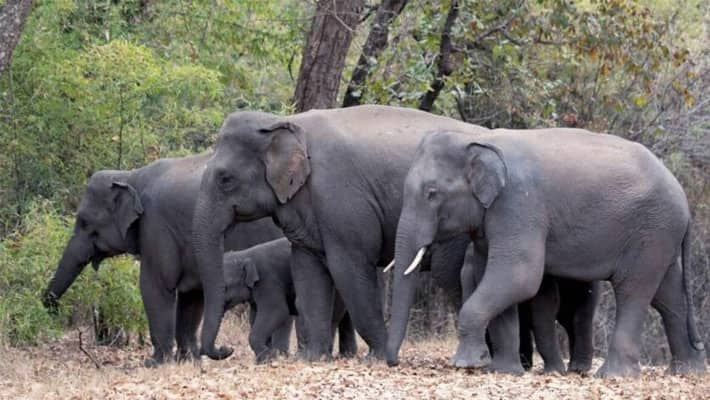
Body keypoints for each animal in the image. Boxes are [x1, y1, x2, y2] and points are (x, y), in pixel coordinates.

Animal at [224, 238, 358, 362]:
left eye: (226, 287)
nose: (230, 349)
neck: (244, 255)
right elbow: (255, 316)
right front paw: (267, 358)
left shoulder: (268, 281)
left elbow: (277, 311)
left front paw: (270, 358)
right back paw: (346, 355)